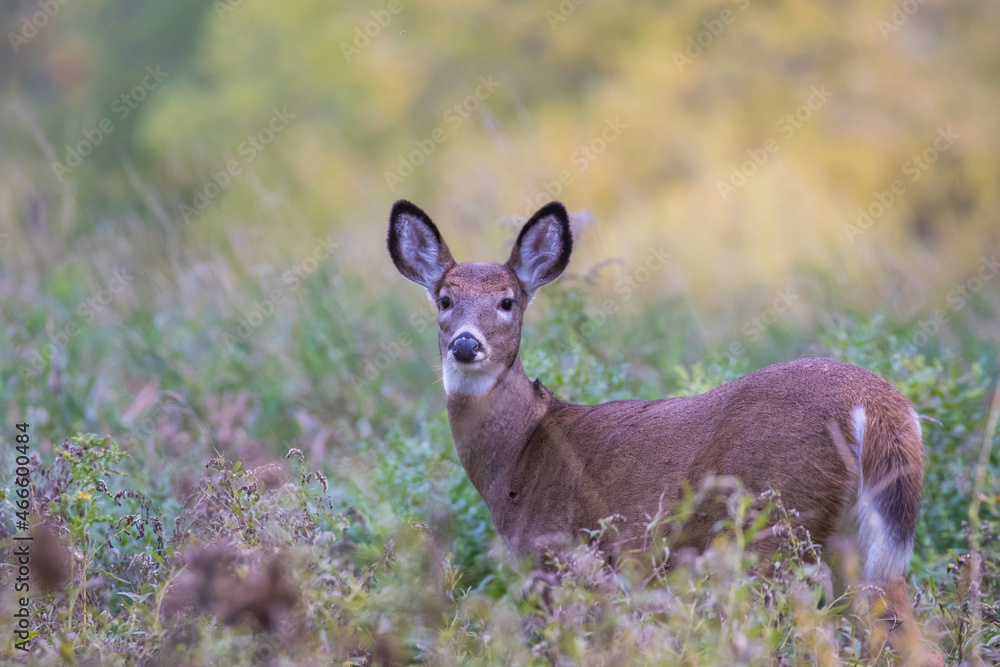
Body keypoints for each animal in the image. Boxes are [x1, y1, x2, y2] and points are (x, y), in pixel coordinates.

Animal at [386, 200, 940, 667]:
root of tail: (879, 406)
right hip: (855, 541)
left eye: (507, 301)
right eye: (444, 300)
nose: (465, 344)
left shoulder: (559, 560)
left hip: (778, 523)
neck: (519, 458)